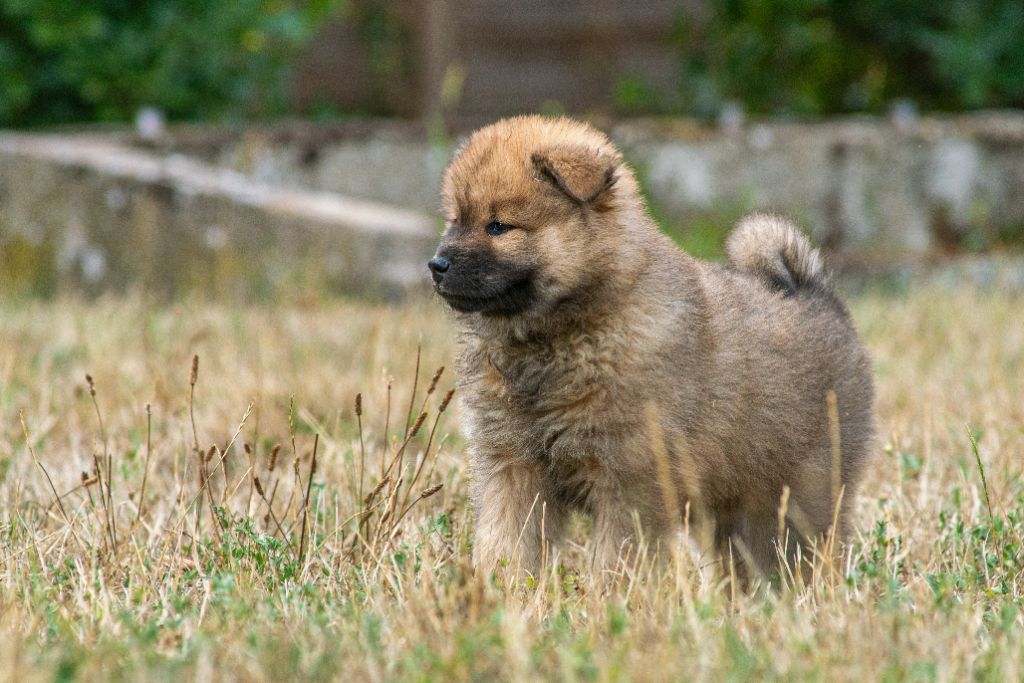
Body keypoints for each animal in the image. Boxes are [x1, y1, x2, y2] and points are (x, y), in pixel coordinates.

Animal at [428, 114, 876, 581]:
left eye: (498, 226)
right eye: (455, 220)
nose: (436, 265)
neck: (559, 336)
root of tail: (817, 294)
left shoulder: (630, 478)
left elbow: (615, 557)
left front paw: (606, 593)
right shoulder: (512, 464)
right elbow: (505, 540)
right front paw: (497, 585)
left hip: (798, 494)